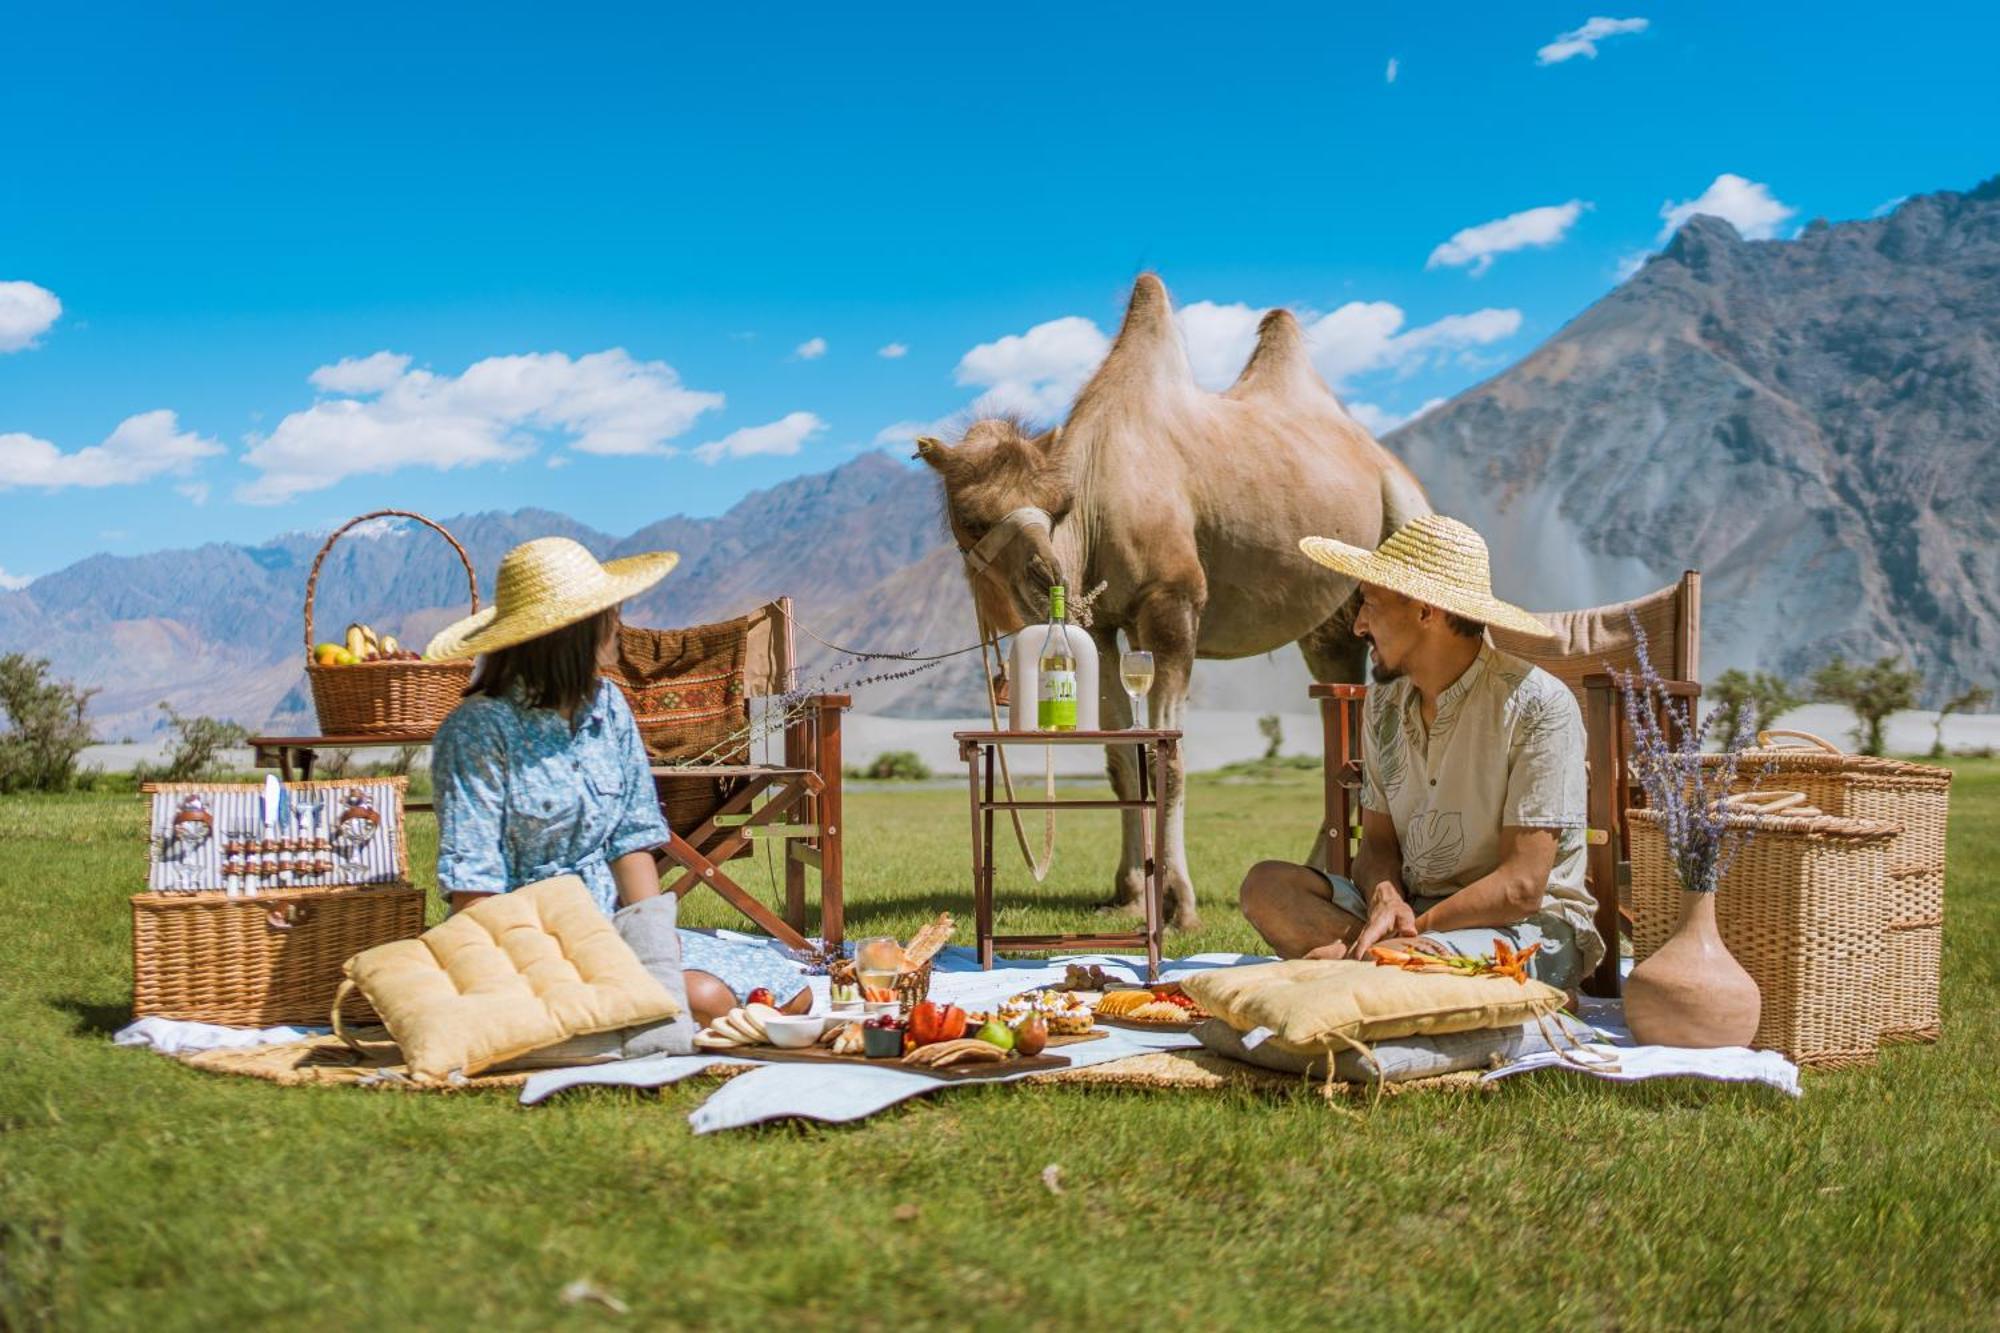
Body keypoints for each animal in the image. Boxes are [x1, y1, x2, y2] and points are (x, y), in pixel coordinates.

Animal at [916, 272, 1432, 924]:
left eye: (1056, 507)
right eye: (970, 518)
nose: (1049, 577)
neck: (1097, 498)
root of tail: (1389, 464)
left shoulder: (1172, 606)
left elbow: (1169, 758)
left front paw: (1179, 903)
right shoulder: (1101, 627)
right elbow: (1121, 759)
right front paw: (1130, 894)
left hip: (1404, 529)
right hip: (1334, 625)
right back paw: (1322, 871)